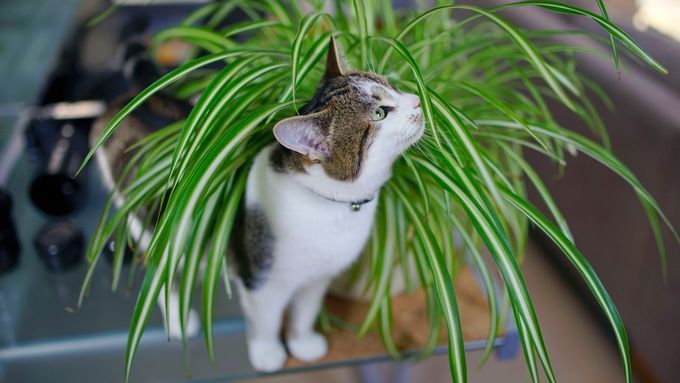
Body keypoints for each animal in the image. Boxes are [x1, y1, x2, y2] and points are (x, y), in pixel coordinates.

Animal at [89, 38, 420, 372]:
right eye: (379, 113)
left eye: (391, 85)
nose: (418, 100)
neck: (329, 205)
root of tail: (131, 100)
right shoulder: (262, 282)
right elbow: (267, 321)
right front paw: (268, 353)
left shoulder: (317, 279)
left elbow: (305, 312)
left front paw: (302, 344)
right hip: (147, 225)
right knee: (157, 269)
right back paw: (177, 318)